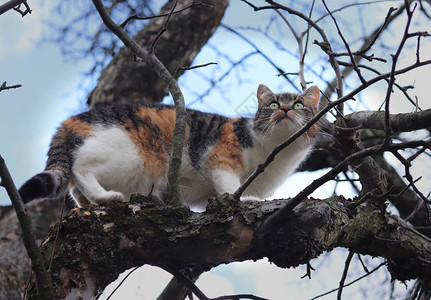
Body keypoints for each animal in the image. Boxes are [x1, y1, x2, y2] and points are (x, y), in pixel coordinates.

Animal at [18, 84, 318, 211]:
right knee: (80, 169)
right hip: (129, 155)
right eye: (274, 104)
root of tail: (69, 121)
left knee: (74, 188)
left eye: (299, 104)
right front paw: (242, 199)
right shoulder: (220, 158)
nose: (286, 109)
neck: (275, 152)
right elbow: (230, 186)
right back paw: (106, 197)